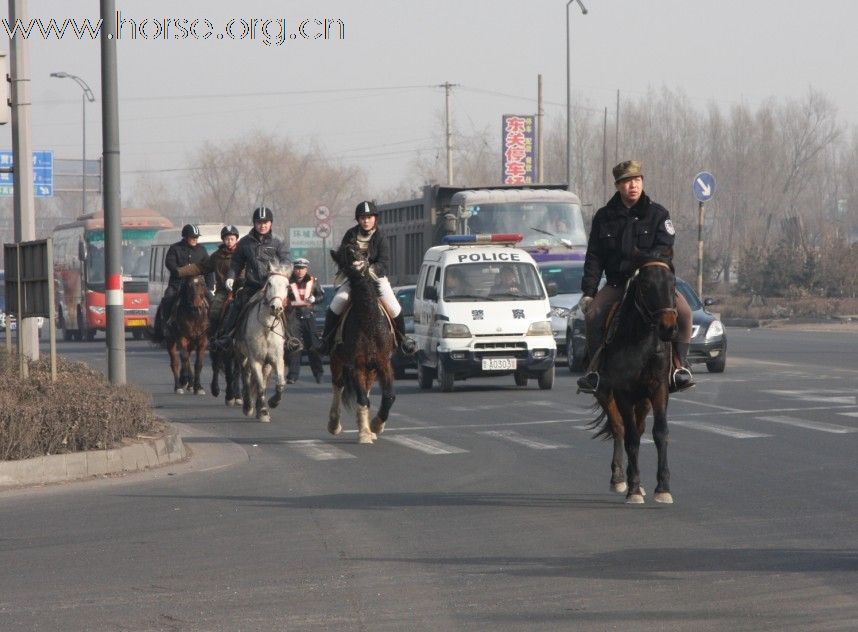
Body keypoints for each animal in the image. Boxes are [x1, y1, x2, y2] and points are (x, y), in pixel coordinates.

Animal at [234, 264, 294, 422]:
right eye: (269, 283)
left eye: (287, 286)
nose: (276, 308)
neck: (267, 327)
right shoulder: (255, 360)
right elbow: (260, 385)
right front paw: (263, 411)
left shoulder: (277, 359)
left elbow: (280, 383)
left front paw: (273, 402)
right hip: (242, 356)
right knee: (246, 376)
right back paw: (248, 406)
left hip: (267, 363)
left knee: (264, 377)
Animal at [326, 242, 396, 444]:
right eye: (344, 257)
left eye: (361, 252)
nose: (350, 250)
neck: (368, 320)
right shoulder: (356, 364)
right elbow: (362, 399)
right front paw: (365, 433)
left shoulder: (383, 363)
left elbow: (388, 396)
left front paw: (375, 426)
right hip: (337, 361)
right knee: (339, 386)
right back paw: (334, 425)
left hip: (371, 369)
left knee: (367, 388)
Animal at [588, 254, 676, 506]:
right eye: (645, 286)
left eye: (673, 284)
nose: (668, 327)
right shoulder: (623, 392)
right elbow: (631, 437)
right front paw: (633, 488)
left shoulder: (659, 389)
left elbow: (660, 432)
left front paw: (662, 487)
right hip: (606, 393)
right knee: (619, 428)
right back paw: (619, 478)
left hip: (643, 399)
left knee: (638, 425)